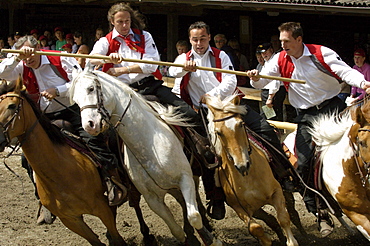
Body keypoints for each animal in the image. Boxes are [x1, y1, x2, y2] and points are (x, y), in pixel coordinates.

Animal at [69, 66, 221, 246]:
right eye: (76, 101)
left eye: (91, 88)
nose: (89, 125)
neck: (149, 145)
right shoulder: (152, 199)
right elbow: (176, 231)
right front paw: (190, 238)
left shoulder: (185, 179)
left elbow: (194, 216)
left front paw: (212, 240)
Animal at [204, 94, 300, 246]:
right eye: (218, 132)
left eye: (241, 124)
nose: (242, 164)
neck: (247, 177)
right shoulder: (239, 207)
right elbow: (256, 228)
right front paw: (267, 240)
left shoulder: (276, 191)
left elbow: (283, 218)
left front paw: (291, 241)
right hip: (256, 209)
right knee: (270, 220)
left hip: (284, 190)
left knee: (292, 213)